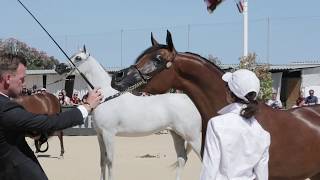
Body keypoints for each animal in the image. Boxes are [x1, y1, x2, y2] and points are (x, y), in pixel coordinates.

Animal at [67, 48, 201, 180]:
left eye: (78, 58)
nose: (62, 67)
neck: (106, 97)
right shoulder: (100, 135)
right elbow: (102, 160)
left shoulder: (108, 134)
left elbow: (110, 161)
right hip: (177, 135)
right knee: (182, 158)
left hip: (192, 136)